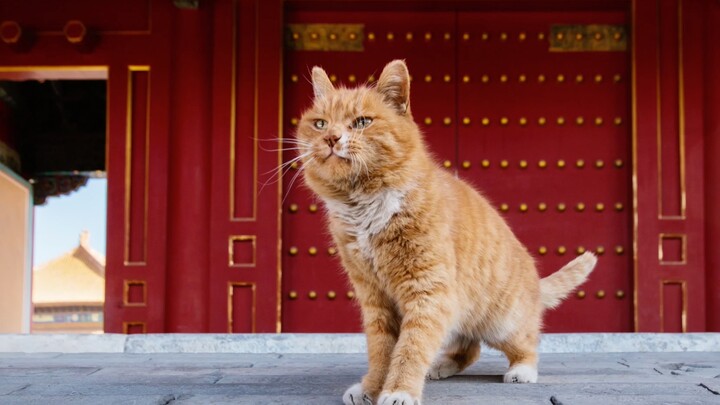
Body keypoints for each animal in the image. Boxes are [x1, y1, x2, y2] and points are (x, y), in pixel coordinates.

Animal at [292, 60, 596, 404]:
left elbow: (410, 347)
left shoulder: (427, 290)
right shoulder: (374, 297)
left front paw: (398, 390)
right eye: (320, 124)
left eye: (362, 122)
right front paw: (371, 388)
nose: (331, 138)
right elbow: (382, 350)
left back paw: (521, 370)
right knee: (469, 348)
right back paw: (441, 366)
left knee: (526, 343)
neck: (364, 206)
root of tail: (534, 282)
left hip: (503, 322)